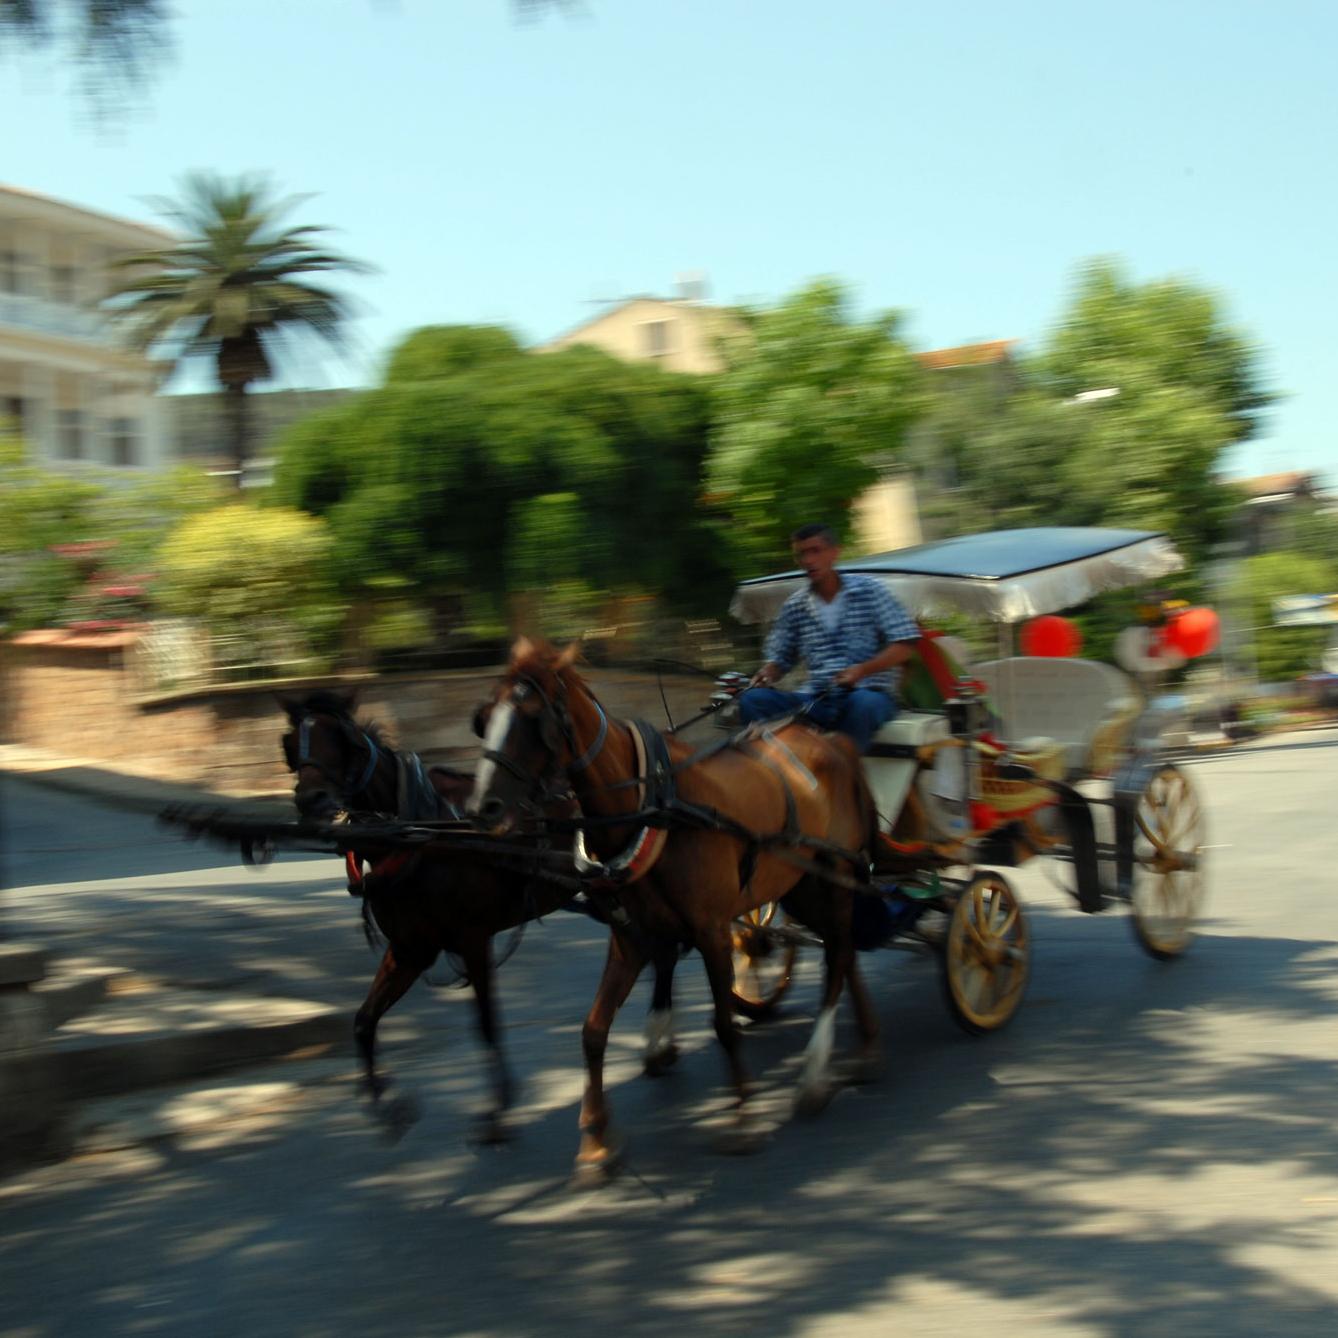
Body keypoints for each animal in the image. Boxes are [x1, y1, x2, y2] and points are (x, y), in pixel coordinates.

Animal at [278, 690, 685, 1139]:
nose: (310, 800)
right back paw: (659, 1043)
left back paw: (660, 1039)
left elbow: (487, 1021)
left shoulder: (471, 938)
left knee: (662, 950)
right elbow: (364, 1022)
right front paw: (387, 1107)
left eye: (340, 739)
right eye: (292, 744)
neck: (418, 832)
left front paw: (498, 1109)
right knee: (661, 951)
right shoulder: (410, 948)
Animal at [468, 642, 877, 1177]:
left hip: (834, 874)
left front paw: (743, 1118)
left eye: (533, 718)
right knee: (842, 950)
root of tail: (833, 741)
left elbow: (723, 1025)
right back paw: (865, 1045)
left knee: (838, 955)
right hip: (803, 884)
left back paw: (814, 1073)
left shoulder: (711, 931)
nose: (482, 808)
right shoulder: (630, 938)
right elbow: (592, 1031)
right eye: (485, 717)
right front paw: (596, 1138)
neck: (652, 808)